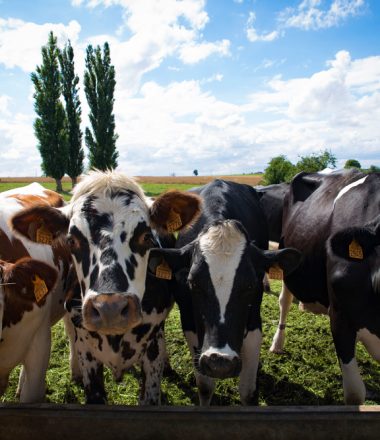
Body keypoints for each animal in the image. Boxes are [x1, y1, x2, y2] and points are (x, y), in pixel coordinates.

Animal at [148, 180, 300, 406]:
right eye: (192, 283)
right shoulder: (190, 321)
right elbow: (204, 386)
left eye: (250, 285)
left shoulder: (253, 321)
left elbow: (248, 392)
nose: (221, 362)